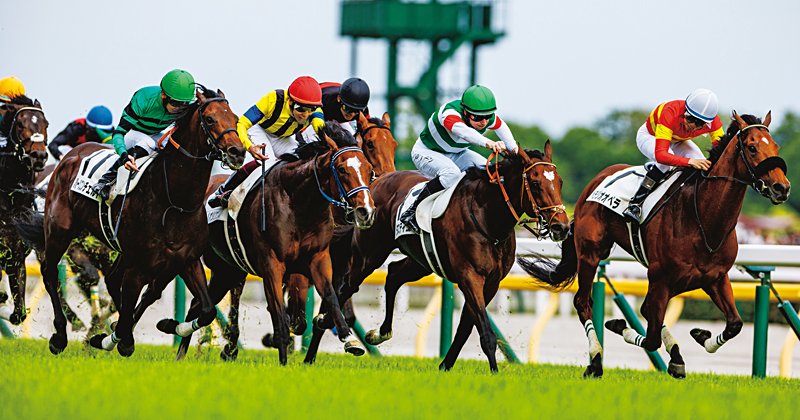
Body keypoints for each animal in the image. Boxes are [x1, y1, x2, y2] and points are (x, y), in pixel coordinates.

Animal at [25, 87, 246, 356]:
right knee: (50, 272)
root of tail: (72, 155)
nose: (237, 152)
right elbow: (127, 319)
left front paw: (167, 325)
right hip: (60, 229)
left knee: (112, 281)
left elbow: (206, 310)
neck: (173, 201)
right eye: (211, 119)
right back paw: (60, 335)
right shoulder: (139, 265)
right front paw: (113, 338)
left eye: (235, 118)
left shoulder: (187, 260)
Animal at [159, 121, 376, 365]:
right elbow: (280, 315)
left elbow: (330, 298)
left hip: (227, 270)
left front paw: (350, 340)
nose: (365, 211)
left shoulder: (318, 259)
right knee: (197, 303)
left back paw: (182, 345)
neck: (299, 204)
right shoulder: (272, 264)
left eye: (369, 171)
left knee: (197, 305)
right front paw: (283, 361)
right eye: (341, 169)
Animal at [304, 141, 570, 371]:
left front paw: (445, 366)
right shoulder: (470, 277)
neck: (487, 218)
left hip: (421, 261)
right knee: (345, 288)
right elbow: (485, 333)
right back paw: (317, 337)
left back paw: (379, 333)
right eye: (535, 183)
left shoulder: (491, 283)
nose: (562, 226)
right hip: (368, 256)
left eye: (559, 182)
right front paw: (494, 372)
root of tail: (374, 183)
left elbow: (465, 329)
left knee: (394, 274)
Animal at [518, 112, 790, 379]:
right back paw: (595, 362)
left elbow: (734, 324)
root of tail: (595, 181)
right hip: (591, 254)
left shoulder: (715, 277)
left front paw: (700, 336)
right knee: (583, 302)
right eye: (752, 147)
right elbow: (650, 339)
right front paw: (618, 325)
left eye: (776, 145)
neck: (702, 218)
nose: (782, 187)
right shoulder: (660, 278)